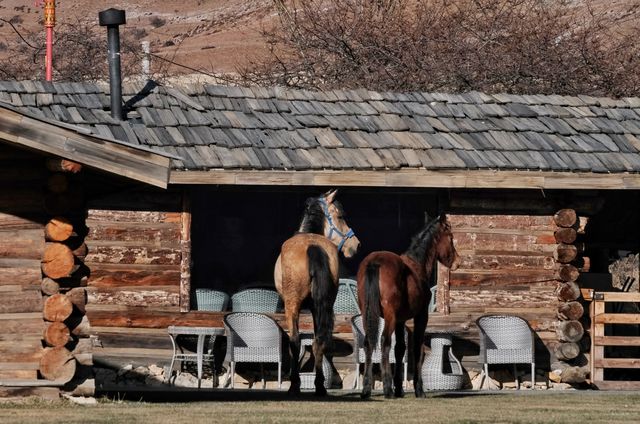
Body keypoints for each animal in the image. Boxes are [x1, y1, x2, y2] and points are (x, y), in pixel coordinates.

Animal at [272, 190, 360, 396]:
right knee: (319, 340)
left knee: (295, 342)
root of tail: (312, 246)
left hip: (292, 305)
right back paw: (319, 386)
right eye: (341, 216)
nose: (356, 244)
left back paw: (294, 385)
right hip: (323, 305)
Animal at [360, 214, 460, 400]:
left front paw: (399, 388)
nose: (458, 262)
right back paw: (387, 389)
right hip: (389, 317)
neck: (416, 266)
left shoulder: (400, 321)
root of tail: (374, 262)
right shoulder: (421, 316)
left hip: (367, 314)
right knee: (384, 341)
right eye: (450, 237)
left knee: (369, 342)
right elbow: (417, 349)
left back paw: (366, 390)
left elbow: (400, 349)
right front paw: (418, 389)